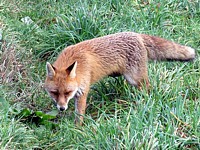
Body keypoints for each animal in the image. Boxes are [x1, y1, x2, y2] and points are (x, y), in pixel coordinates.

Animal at [44, 31, 195, 125]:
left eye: (68, 92)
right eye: (54, 93)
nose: (61, 108)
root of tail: (137, 35)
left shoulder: (82, 91)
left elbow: (79, 114)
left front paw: (77, 129)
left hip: (135, 78)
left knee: (149, 89)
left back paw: (147, 102)